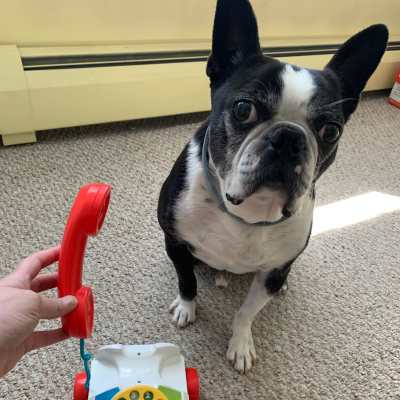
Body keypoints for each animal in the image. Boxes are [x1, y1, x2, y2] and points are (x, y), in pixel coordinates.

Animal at [157, 0, 388, 372]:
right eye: (243, 109)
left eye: (331, 131)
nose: (289, 137)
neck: (247, 213)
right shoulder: (175, 241)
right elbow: (186, 281)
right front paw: (186, 308)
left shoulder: (272, 272)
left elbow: (247, 312)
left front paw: (240, 344)